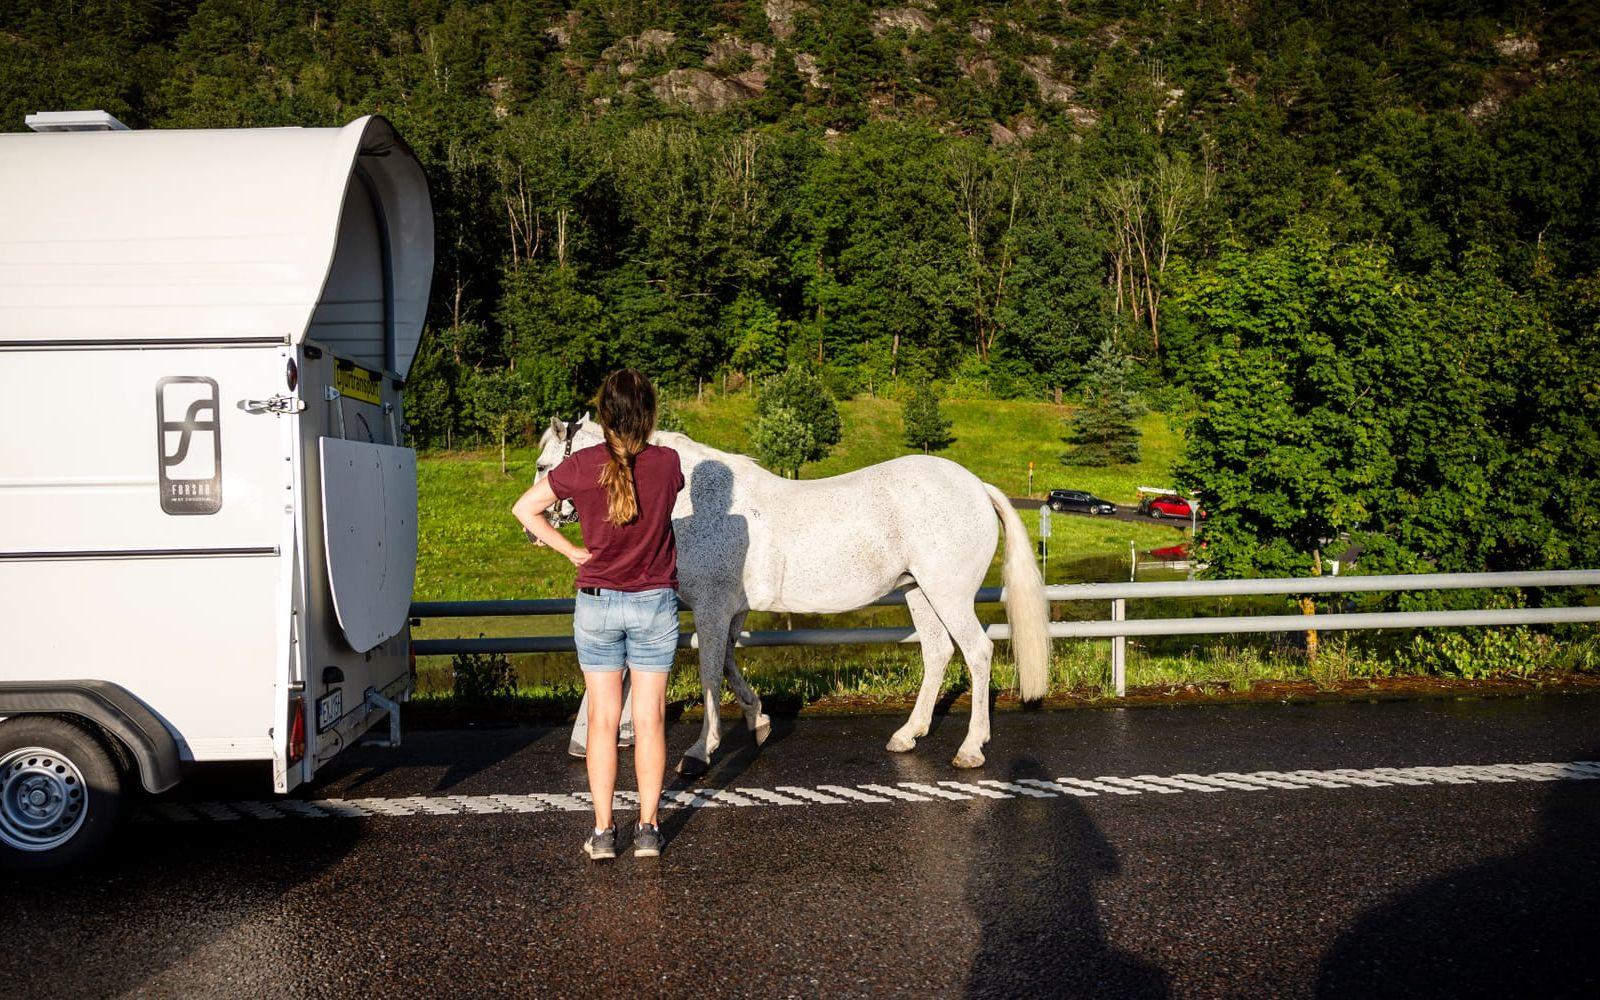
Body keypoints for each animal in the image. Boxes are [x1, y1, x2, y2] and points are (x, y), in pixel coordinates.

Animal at [531, 412, 1049, 771]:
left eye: (542, 465)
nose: (537, 527)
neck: (694, 501)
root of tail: (977, 487)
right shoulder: (732, 611)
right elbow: (726, 662)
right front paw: (758, 720)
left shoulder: (713, 608)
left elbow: (709, 673)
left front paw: (700, 751)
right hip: (919, 591)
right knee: (938, 653)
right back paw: (908, 735)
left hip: (949, 593)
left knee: (978, 652)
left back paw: (971, 748)